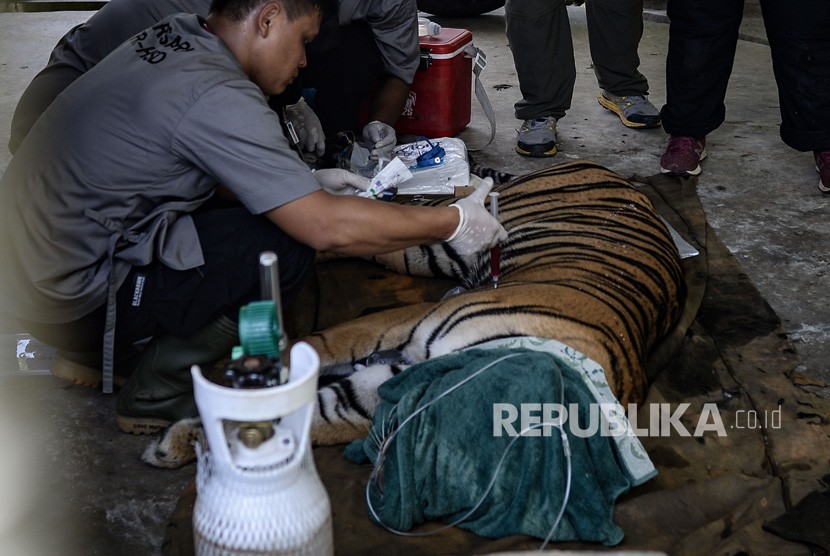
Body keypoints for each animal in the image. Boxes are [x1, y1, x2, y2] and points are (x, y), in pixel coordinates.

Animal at [145, 162, 688, 470]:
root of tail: (605, 167)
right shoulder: (404, 321)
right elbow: (323, 345)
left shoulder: (372, 392)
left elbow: (315, 414)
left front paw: (179, 443)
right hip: (438, 239)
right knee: (397, 208)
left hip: (434, 252)